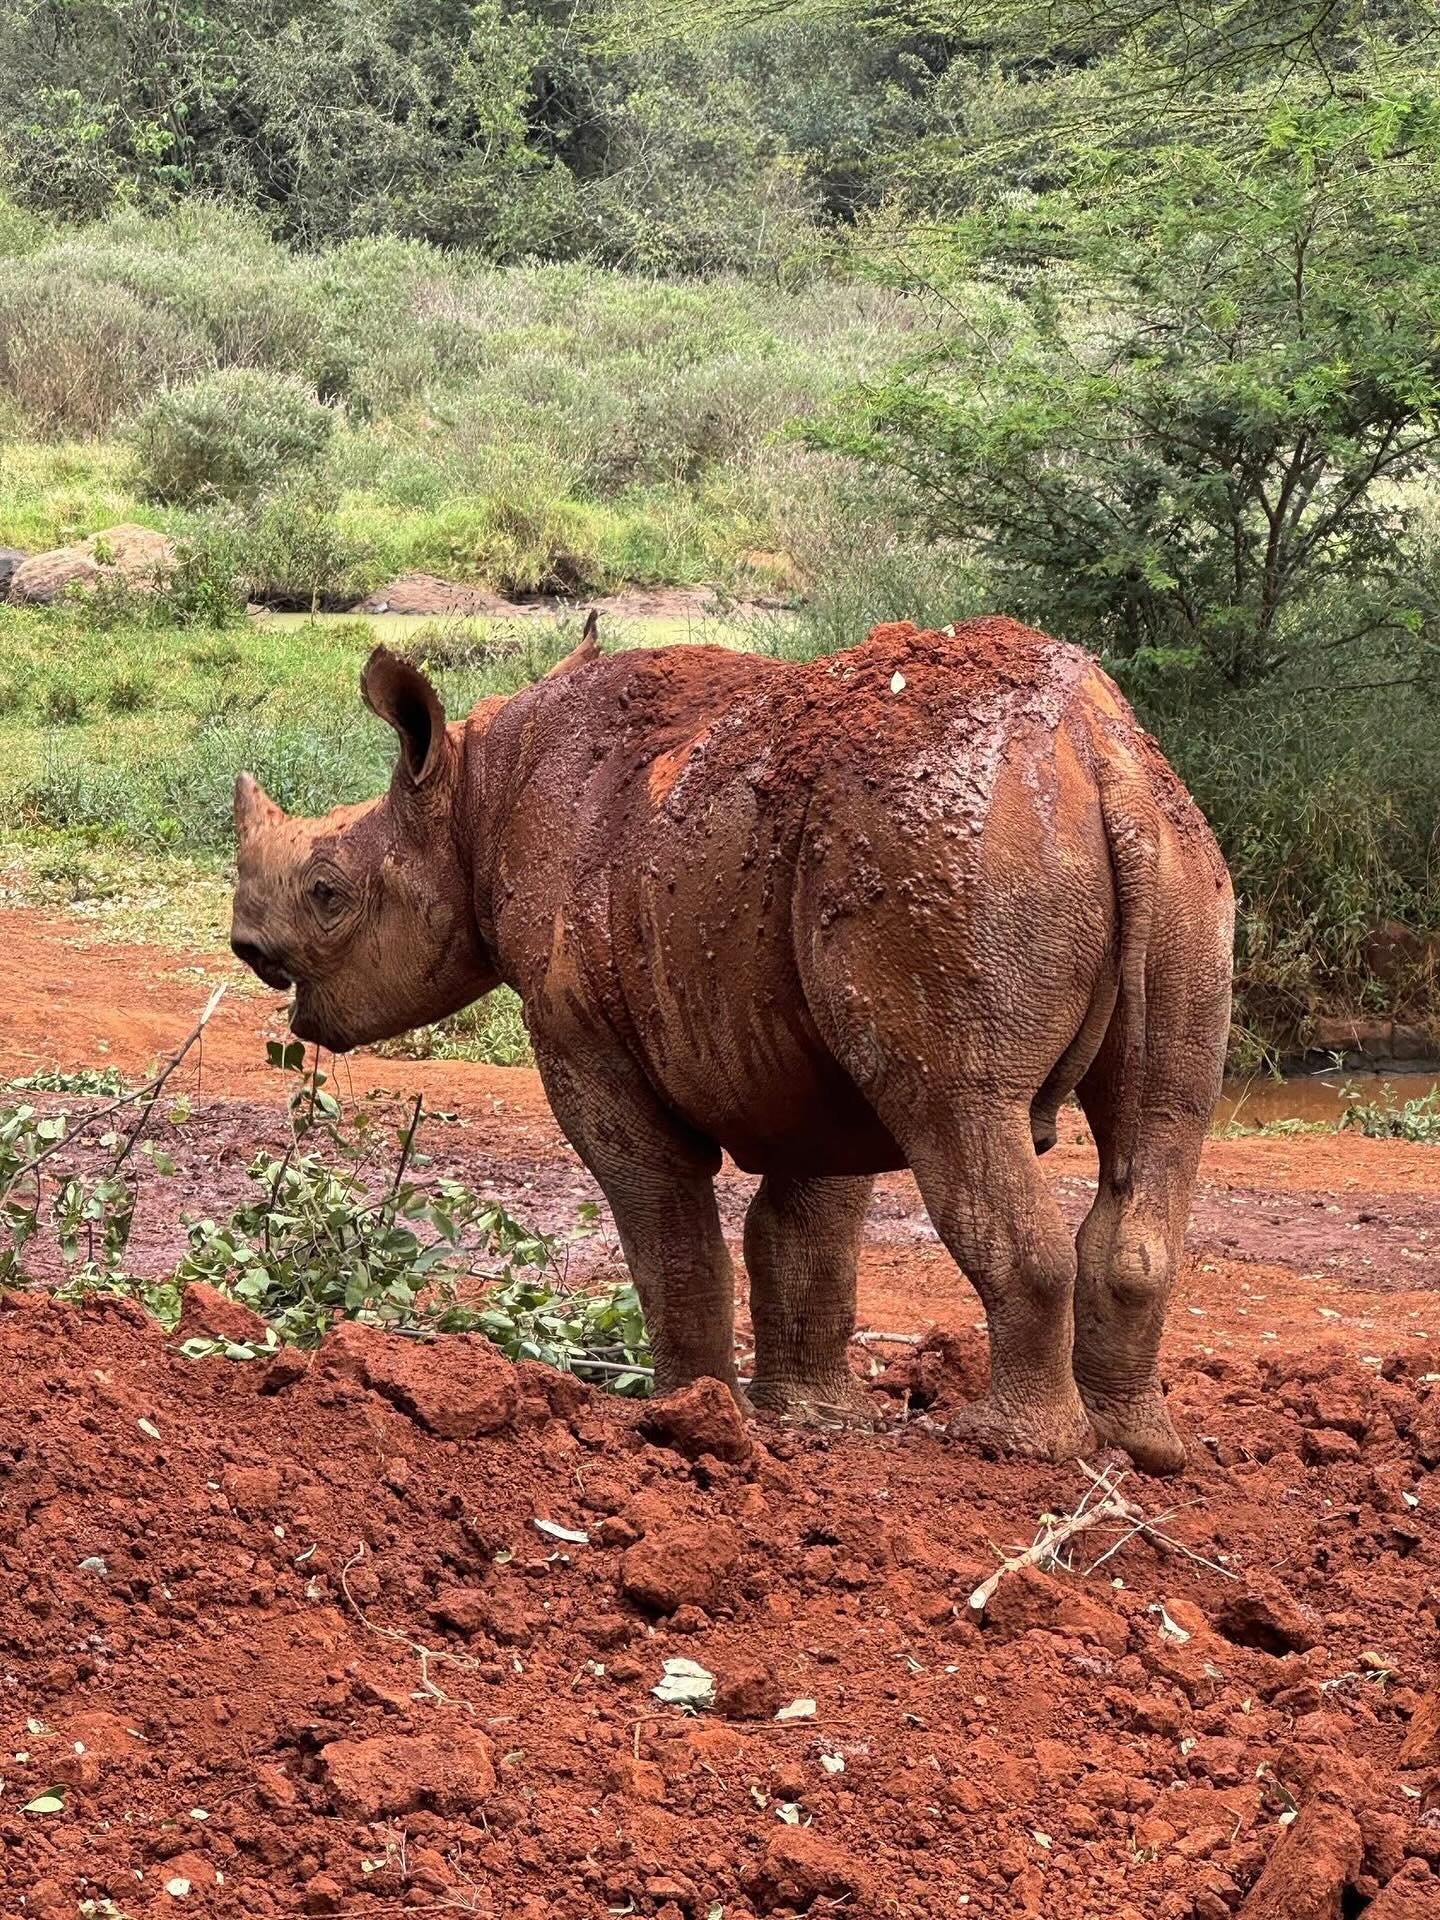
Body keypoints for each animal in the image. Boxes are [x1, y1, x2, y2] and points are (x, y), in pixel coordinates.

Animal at [231, 615, 1233, 1472]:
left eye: (327, 893)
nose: (246, 949)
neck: (473, 794)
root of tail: (1095, 754)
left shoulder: (584, 1034)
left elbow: (665, 1216)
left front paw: (684, 1410)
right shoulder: (804, 1045)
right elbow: (804, 1232)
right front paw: (806, 1416)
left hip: (947, 856)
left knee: (962, 1111)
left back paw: (1011, 1448)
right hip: (1163, 855)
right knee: (1163, 1112)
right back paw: (1139, 1447)